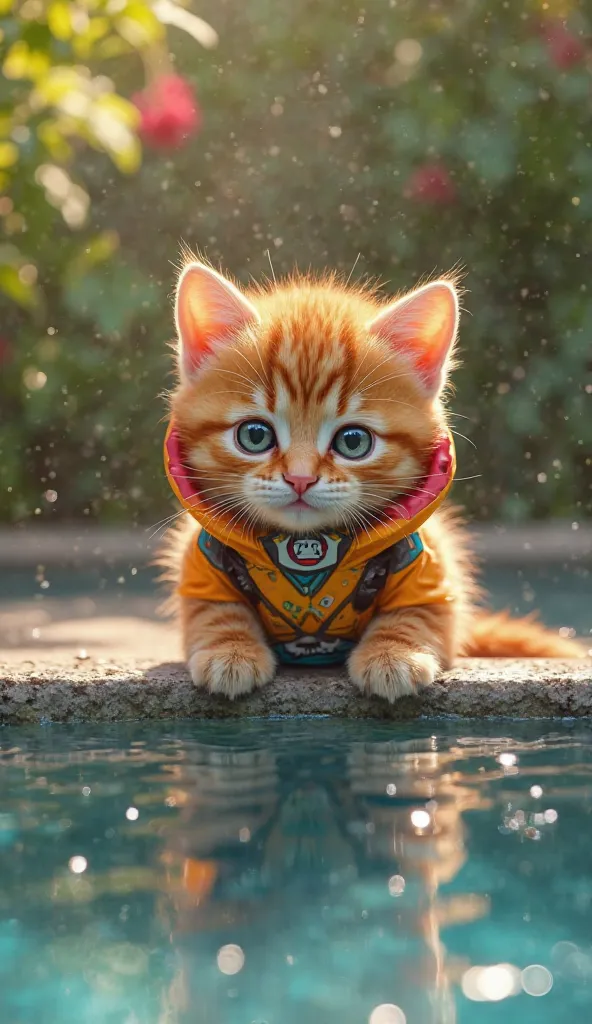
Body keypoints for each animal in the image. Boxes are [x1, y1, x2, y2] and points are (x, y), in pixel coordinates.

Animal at [159, 260, 581, 700]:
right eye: (254, 436)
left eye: (353, 441)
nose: (300, 478)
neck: (307, 552)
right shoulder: (201, 563)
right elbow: (213, 611)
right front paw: (231, 649)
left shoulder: (432, 569)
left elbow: (419, 615)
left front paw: (393, 654)